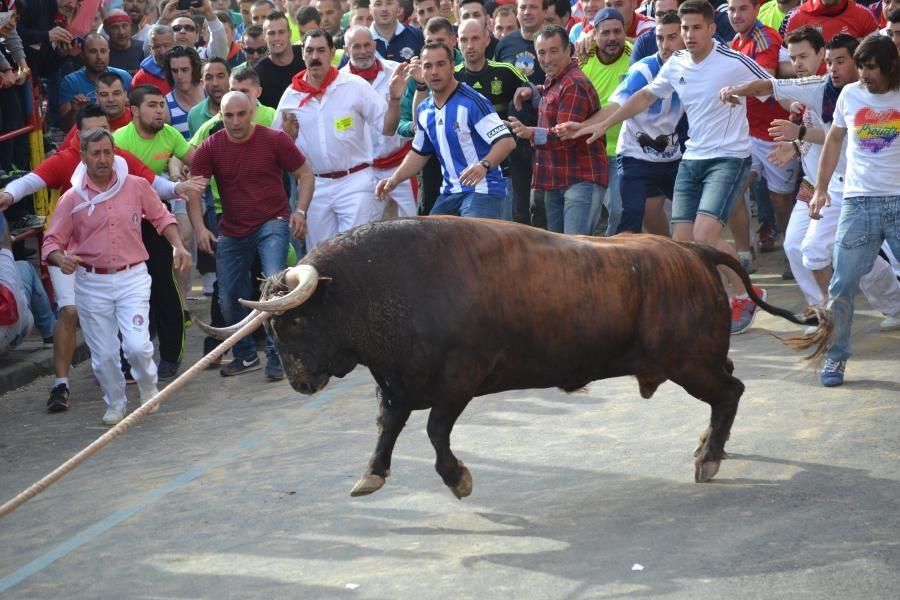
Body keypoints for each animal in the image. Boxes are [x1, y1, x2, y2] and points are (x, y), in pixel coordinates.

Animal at [199, 218, 828, 500]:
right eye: (271, 325)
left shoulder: (456, 383)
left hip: (689, 364)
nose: (300, 384)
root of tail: (689, 250)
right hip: (697, 361)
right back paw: (710, 447)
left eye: (295, 321)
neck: (381, 285)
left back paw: (709, 458)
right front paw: (370, 476)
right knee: (730, 391)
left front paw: (459, 479)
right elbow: (387, 428)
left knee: (731, 392)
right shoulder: (398, 383)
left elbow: (434, 433)